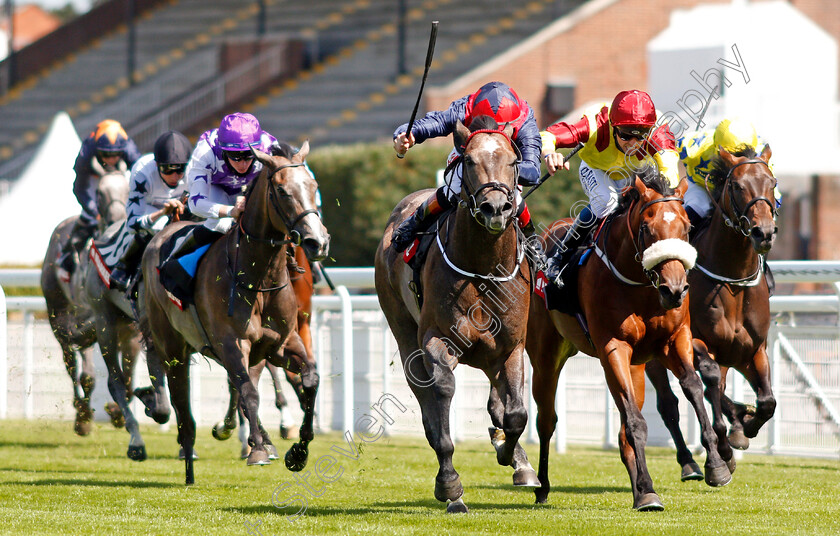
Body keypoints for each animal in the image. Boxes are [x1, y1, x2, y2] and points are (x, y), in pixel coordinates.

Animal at [41, 171, 135, 436]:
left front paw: (117, 413)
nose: (118, 217)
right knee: (72, 364)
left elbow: (128, 378)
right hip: (58, 313)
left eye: (127, 188)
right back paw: (81, 415)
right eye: (100, 193)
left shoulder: (129, 331)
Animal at [141, 140, 328, 484]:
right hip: (172, 347)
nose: (317, 242)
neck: (260, 278)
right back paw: (188, 457)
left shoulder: (282, 342)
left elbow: (308, 379)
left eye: (313, 185)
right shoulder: (231, 343)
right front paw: (257, 450)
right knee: (180, 401)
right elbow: (249, 394)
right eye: (282, 191)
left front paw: (298, 451)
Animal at [376, 118, 540, 516]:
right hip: (403, 331)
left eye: (514, 161)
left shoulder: (511, 345)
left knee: (498, 404)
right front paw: (450, 486)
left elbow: (515, 413)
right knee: (425, 397)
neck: (483, 267)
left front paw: (513, 457)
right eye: (468, 160)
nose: (495, 207)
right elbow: (442, 393)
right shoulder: (436, 339)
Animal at [528, 172, 732, 510]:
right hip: (546, 356)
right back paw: (541, 485)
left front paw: (716, 465)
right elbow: (636, 423)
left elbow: (692, 387)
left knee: (625, 426)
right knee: (547, 419)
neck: (641, 285)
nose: (675, 289)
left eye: (686, 228)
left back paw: (637, 489)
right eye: (647, 228)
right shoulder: (614, 347)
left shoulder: (674, 339)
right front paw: (649, 489)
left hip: (635, 367)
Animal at [648, 144, 776, 480]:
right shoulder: (695, 343)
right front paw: (725, 447)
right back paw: (690, 461)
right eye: (738, 186)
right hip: (651, 356)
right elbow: (710, 380)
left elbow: (767, 401)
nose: (764, 232)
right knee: (669, 404)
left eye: (772, 182)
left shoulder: (753, 349)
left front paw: (746, 425)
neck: (733, 280)